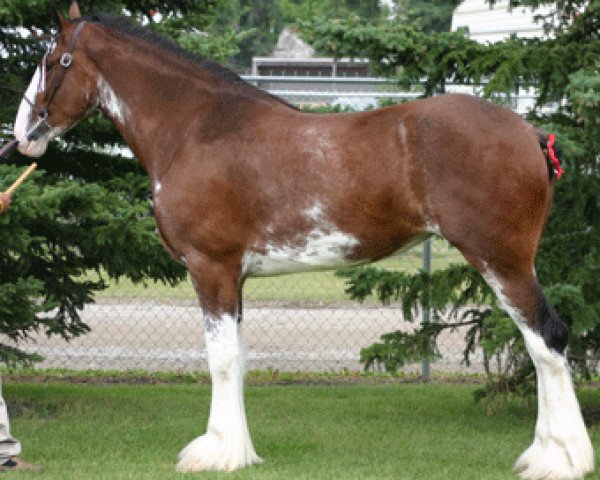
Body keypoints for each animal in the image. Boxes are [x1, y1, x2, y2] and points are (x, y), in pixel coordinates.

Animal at [11, 1, 592, 478]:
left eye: (52, 60)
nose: (21, 136)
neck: (196, 129)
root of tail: (531, 134)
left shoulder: (211, 266)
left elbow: (221, 360)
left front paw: (216, 453)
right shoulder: (236, 276)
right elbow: (239, 359)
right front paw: (241, 451)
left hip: (503, 260)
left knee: (547, 339)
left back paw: (560, 458)